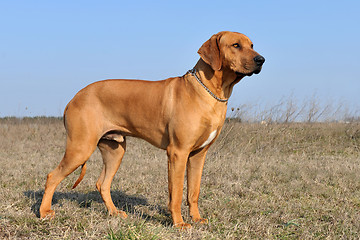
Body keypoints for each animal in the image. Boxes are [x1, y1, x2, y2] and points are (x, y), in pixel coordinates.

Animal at [39, 31, 264, 228]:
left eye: (252, 45)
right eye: (236, 45)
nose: (261, 59)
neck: (209, 92)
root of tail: (73, 98)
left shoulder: (198, 154)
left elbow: (193, 192)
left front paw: (197, 218)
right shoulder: (178, 153)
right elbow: (176, 193)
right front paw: (179, 223)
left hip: (115, 150)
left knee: (102, 184)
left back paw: (114, 212)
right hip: (80, 148)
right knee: (52, 177)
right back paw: (44, 212)